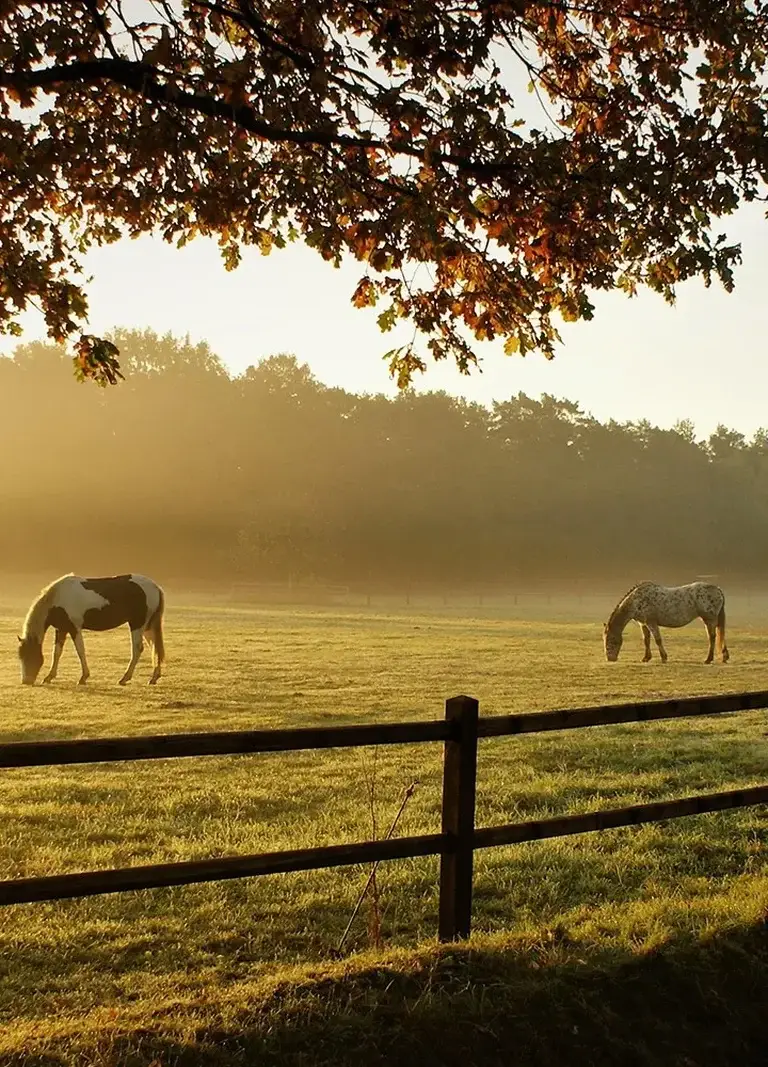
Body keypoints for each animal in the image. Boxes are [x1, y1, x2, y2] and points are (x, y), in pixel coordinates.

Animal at [18, 573, 165, 686]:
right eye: (21, 656)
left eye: (30, 656)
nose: (26, 681)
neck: (58, 597)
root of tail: (155, 587)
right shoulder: (61, 629)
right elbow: (57, 652)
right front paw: (49, 676)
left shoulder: (74, 628)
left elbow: (80, 651)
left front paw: (83, 677)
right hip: (147, 627)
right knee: (154, 647)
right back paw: (153, 678)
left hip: (137, 624)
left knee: (137, 649)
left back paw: (124, 678)